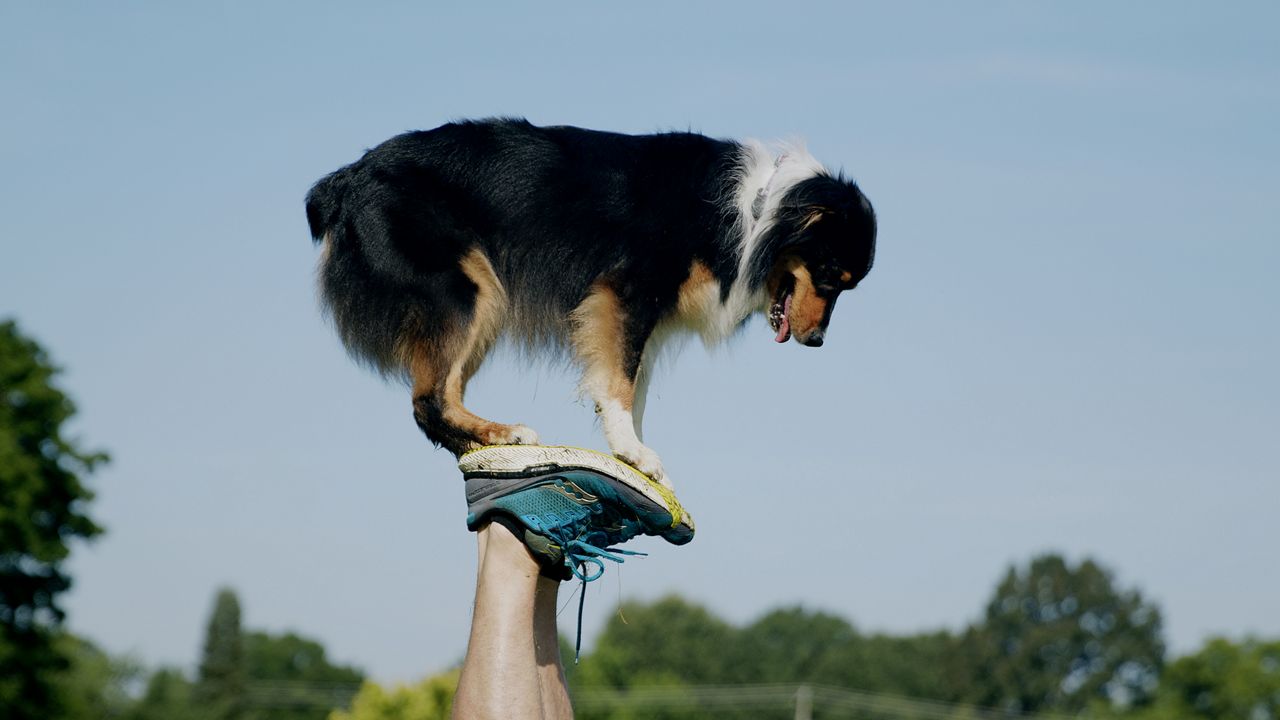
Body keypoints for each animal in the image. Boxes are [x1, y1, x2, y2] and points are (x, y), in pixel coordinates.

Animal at [304, 119, 875, 486]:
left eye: (846, 287)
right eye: (831, 277)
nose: (816, 341)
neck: (758, 211)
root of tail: (345, 179)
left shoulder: (644, 320)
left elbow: (629, 386)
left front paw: (630, 452)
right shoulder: (626, 293)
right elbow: (620, 382)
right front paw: (635, 454)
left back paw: (486, 442)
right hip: (469, 289)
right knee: (428, 399)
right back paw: (503, 431)